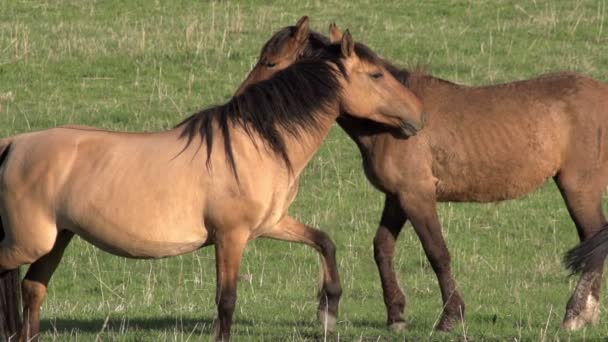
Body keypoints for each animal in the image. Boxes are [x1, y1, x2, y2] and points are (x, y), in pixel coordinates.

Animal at [0, 31, 428, 340]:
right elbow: (226, 300)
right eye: (376, 75)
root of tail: (15, 143)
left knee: (33, 289)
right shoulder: (230, 237)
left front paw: (328, 312)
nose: (419, 116)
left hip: (58, 239)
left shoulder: (272, 225)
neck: (255, 143)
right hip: (30, 242)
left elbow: (324, 242)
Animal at [236, 16, 608, 332]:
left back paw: (574, 314)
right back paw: (588, 313)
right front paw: (396, 315)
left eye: (270, 62)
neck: (391, 122)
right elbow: (383, 248)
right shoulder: (396, 197)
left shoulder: (417, 195)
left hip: (578, 187)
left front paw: (450, 318)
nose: (241, 100)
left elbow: (437, 252)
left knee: (593, 236)